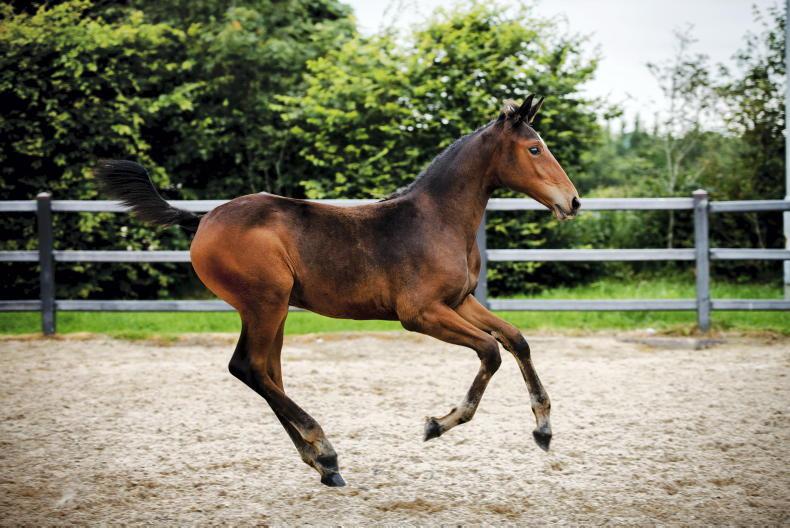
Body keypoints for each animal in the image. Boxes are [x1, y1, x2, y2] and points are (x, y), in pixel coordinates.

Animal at [97, 95, 580, 487]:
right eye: (534, 148)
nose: (573, 201)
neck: (437, 221)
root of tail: (203, 220)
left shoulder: (459, 301)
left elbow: (515, 338)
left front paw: (543, 428)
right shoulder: (420, 313)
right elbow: (490, 351)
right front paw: (437, 425)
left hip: (274, 310)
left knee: (267, 371)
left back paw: (321, 464)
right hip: (264, 303)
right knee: (248, 367)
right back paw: (325, 451)